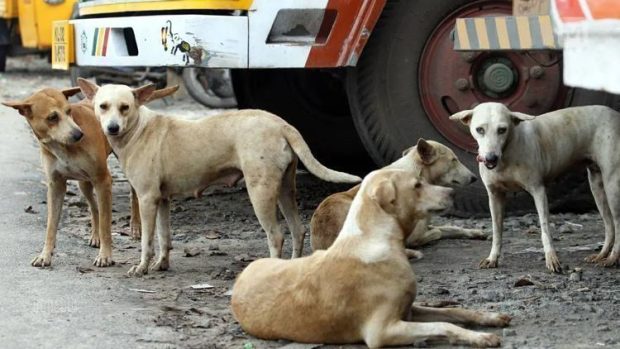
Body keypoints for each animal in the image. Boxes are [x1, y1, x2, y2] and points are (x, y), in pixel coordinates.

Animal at [1, 85, 177, 266]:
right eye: (52, 117)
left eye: (69, 111)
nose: (79, 135)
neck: (62, 147)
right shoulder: (56, 185)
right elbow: (51, 224)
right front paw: (45, 255)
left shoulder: (103, 181)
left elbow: (106, 223)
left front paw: (105, 255)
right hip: (84, 183)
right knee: (94, 207)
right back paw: (95, 235)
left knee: (133, 196)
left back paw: (135, 226)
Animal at [76, 77, 364, 276]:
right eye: (102, 106)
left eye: (125, 107)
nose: (112, 128)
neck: (139, 129)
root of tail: (281, 124)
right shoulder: (163, 200)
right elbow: (164, 236)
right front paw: (162, 264)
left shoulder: (147, 199)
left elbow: (147, 240)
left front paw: (143, 267)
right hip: (285, 190)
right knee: (298, 230)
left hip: (260, 192)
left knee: (276, 235)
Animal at [230, 168, 512, 346]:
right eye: (417, 185)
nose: (453, 194)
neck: (376, 239)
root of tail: (241, 277)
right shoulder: (384, 331)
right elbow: (444, 325)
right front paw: (481, 338)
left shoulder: (409, 311)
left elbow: (455, 311)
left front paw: (489, 318)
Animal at [312, 137, 482, 256]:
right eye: (454, 160)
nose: (475, 178)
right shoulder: (415, 236)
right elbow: (438, 232)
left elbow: (450, 227)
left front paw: (475, 232)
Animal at [450, 102, 620, 272]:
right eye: (480, 129)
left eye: (502, 130)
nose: (491, 158)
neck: (507, 152)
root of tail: (615, 114)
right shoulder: (494, 196)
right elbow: (497, 231)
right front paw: (492, 258)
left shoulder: (538, 191)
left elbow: (545, 229)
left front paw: (551, 258)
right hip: (597, 187)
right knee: (609, 225)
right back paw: (602, 255)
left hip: (612, 185)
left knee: (617, 223)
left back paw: (612, 258)